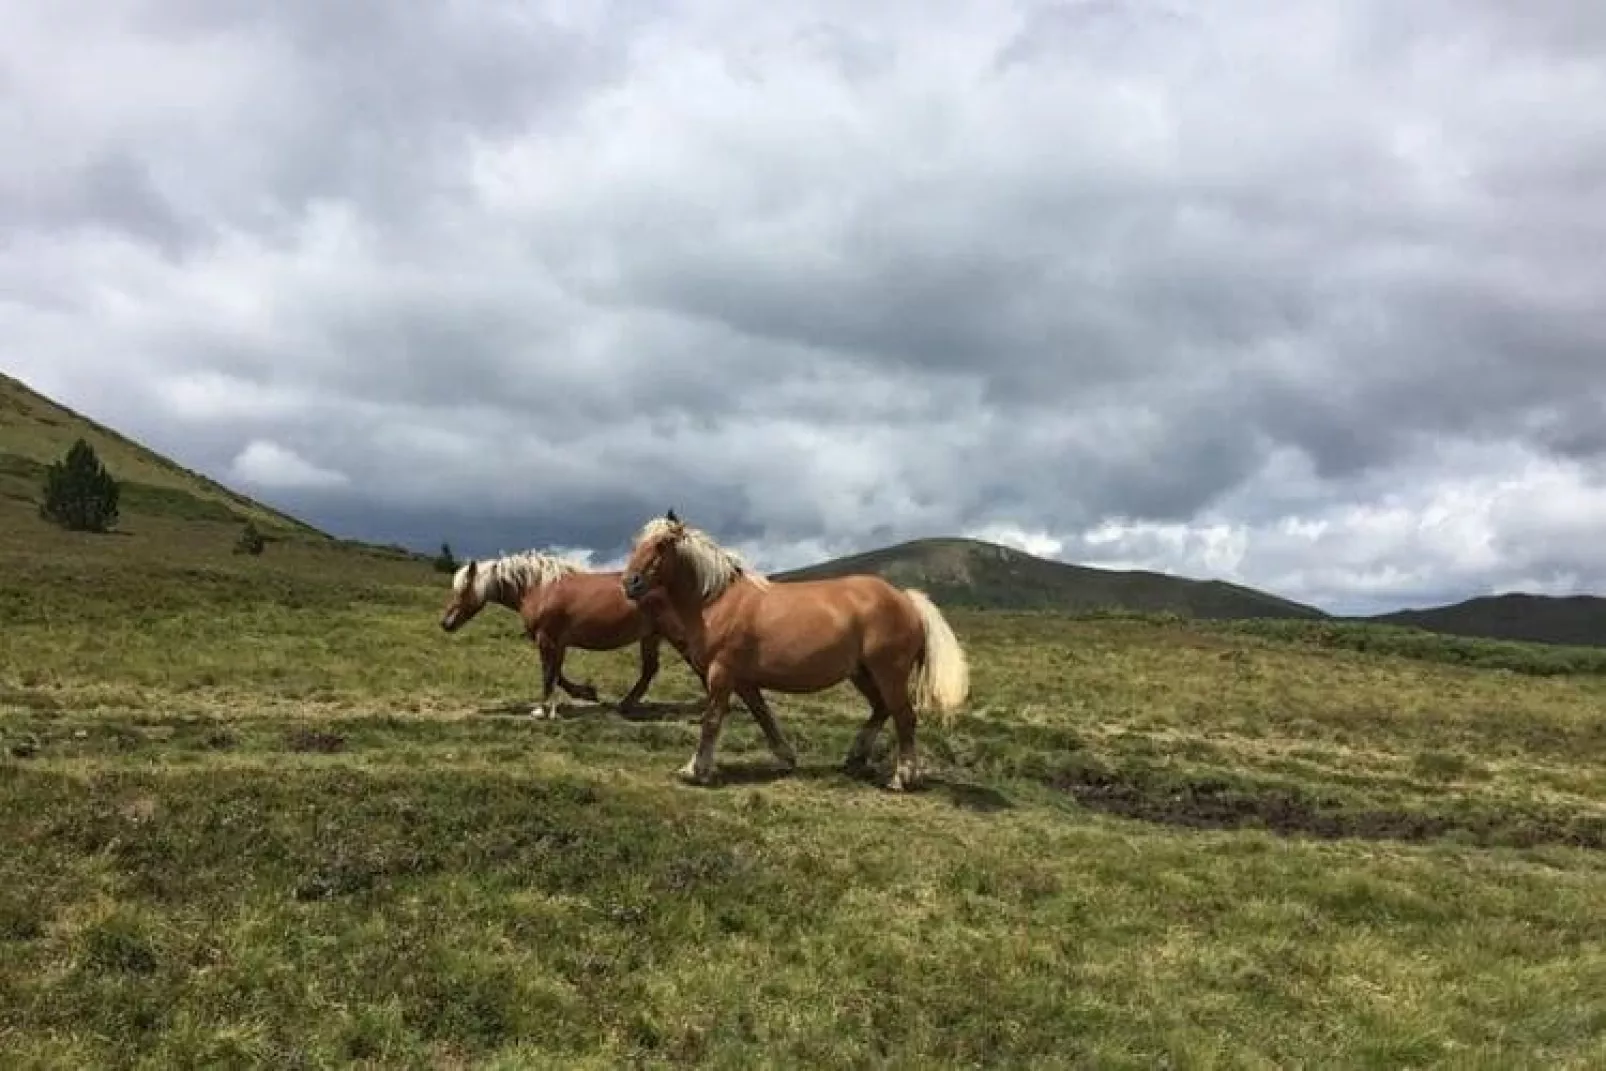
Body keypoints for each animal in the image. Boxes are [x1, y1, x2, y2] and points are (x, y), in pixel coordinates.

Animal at [433, 552, 671, 719]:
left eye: (464, 589)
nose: (446, 623)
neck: (538, 589)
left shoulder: (546, 639)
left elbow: (548, 673)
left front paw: (542, 709)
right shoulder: (559, 642)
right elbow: (558, 674)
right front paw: (585, 693)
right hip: (651, 636)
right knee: (649, 670)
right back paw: (624, 705)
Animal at [619, 510, 970, 786]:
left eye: (662, 544)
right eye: (635, 543)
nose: (629, 583)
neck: (716, 600)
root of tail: (905, 598)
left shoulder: (721, 673)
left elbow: (712, 720)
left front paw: (695, 770)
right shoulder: (744, 680)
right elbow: (764, 716)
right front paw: (786, 758)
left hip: (889, 673)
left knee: (904, 717)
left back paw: (901, 777)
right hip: (862, 673)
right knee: (881, 709)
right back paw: (854, 759)